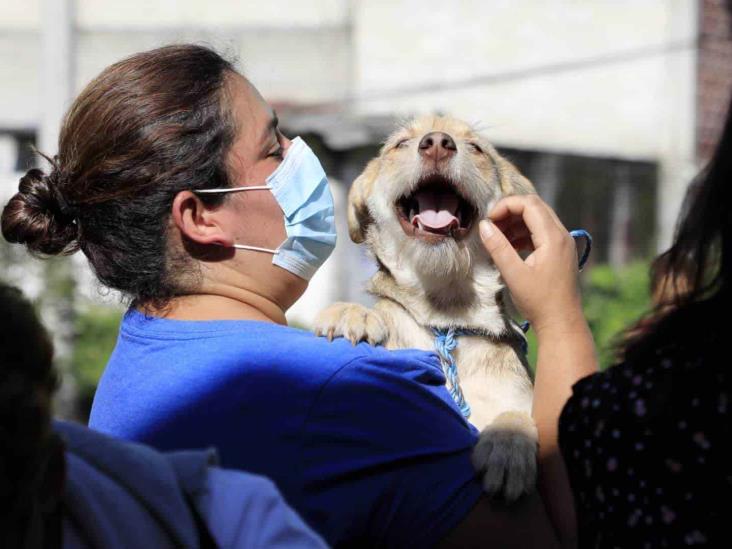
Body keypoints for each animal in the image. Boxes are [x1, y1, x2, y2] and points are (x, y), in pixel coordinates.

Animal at [314, 115, 536, 500]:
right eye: (400, 144)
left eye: (476, 148)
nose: (436, 144)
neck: (447, 316)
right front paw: (351, 313)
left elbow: (522, 415)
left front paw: (510, 442)